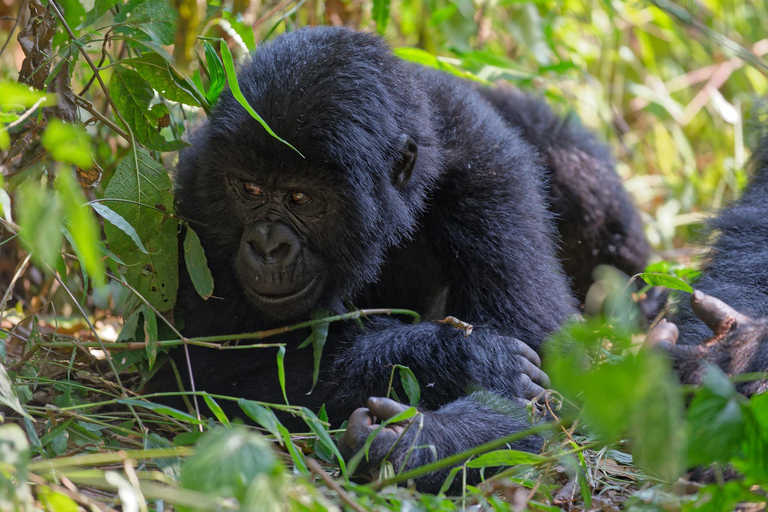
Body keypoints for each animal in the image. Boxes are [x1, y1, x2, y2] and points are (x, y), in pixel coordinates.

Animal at [166, 26, 648, 490]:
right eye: (249, 189)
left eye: (301, 198)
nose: (267, 246)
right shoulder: (197, 194)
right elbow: (204, 370)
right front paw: (457, 360)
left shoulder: (491, 167)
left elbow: (546, 360)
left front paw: (413, 442)